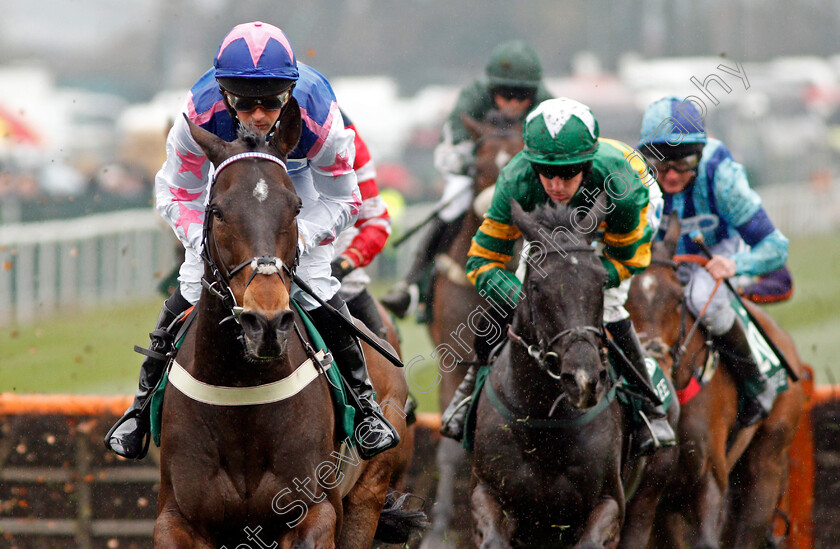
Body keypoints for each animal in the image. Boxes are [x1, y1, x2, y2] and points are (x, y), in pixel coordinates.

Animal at [153, 99, 420, 548]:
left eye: (295, 208)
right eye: (217, 211)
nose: (266, 322)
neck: (241, 390)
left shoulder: (315, 510)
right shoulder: (178, 516)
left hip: (370, 491)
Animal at [628, 216, 804, 544]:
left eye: (677, 298)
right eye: (623, 297)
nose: (654, 360)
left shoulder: (708, 479)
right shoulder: (662, 502)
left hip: (767, 462)